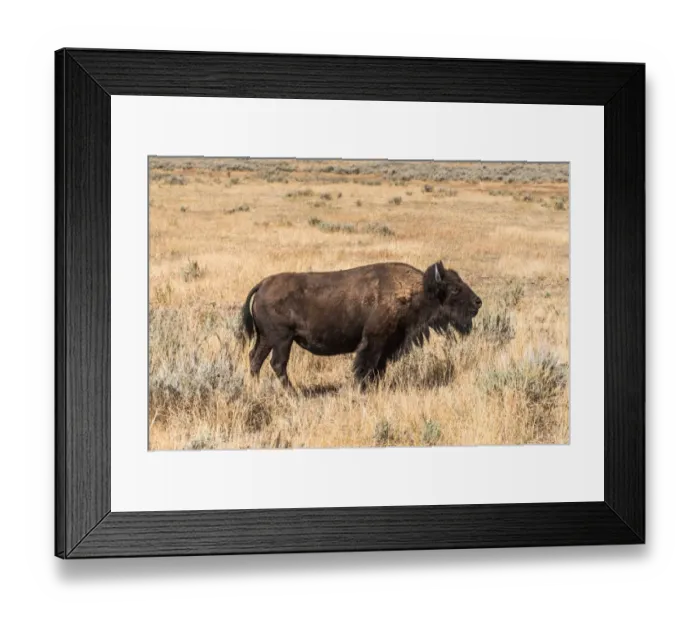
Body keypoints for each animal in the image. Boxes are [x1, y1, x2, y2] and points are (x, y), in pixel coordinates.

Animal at [240, 261, 482, 389]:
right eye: (455, 289)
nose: (478, 302)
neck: (417, 290)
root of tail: (262, 284)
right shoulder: (374, 341)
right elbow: (366, 365)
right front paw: (362, 387)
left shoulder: (388, 345)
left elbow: (379, 368)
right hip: (282, 340)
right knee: (277, 363)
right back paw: (293, 391)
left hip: (267, 338)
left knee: (256, 358)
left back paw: (256, 386)